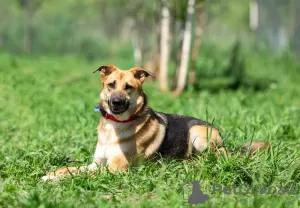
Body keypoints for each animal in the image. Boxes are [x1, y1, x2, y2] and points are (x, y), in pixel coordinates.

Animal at [41, 64, 268, 180]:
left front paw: (58, 179)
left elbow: (81, 176)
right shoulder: (96, 164)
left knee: (215, 157)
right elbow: (72, 169)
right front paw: (52, 174)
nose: (115, 102)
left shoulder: (116, 168)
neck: (115, 126)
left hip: (198, 133)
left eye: (129, 87)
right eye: (111, 85)